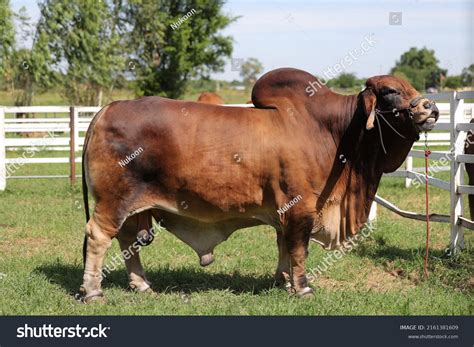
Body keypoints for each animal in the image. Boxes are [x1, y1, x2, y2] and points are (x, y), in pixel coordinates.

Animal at [78, 67, 436, 302]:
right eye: (390, 91)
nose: (429, 106)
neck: (335, 132)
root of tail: (105, 110)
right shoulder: (302, 208)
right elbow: (299, 249)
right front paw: (302, 287)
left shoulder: (285, 211)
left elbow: (283, 246)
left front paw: (283, 281)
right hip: (113, 202)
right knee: (98, 237)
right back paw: (94, 291)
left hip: (133, 208)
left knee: (127, 242)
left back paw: (141, 285)